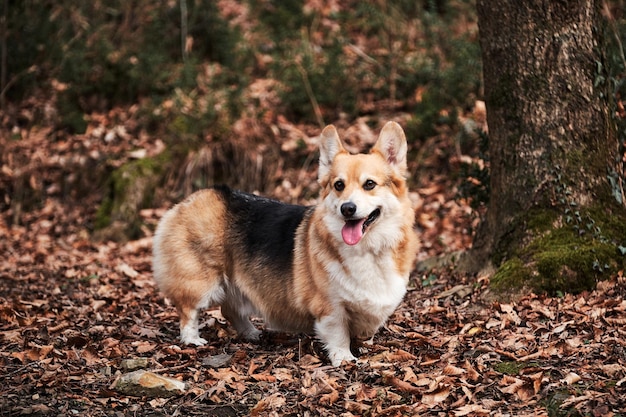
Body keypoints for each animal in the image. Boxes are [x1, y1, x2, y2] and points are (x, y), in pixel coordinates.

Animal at [150, 121, 414, 364]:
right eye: (339, 185)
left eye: (369, 184)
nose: (347, 208)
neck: (368, 249)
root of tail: (191, 199)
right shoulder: (329, 306)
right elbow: (338, 334)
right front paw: (344, 358)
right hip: (200, 282)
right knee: (188, 311)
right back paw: (192, 340)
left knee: (230, 310)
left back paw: (251, 333)